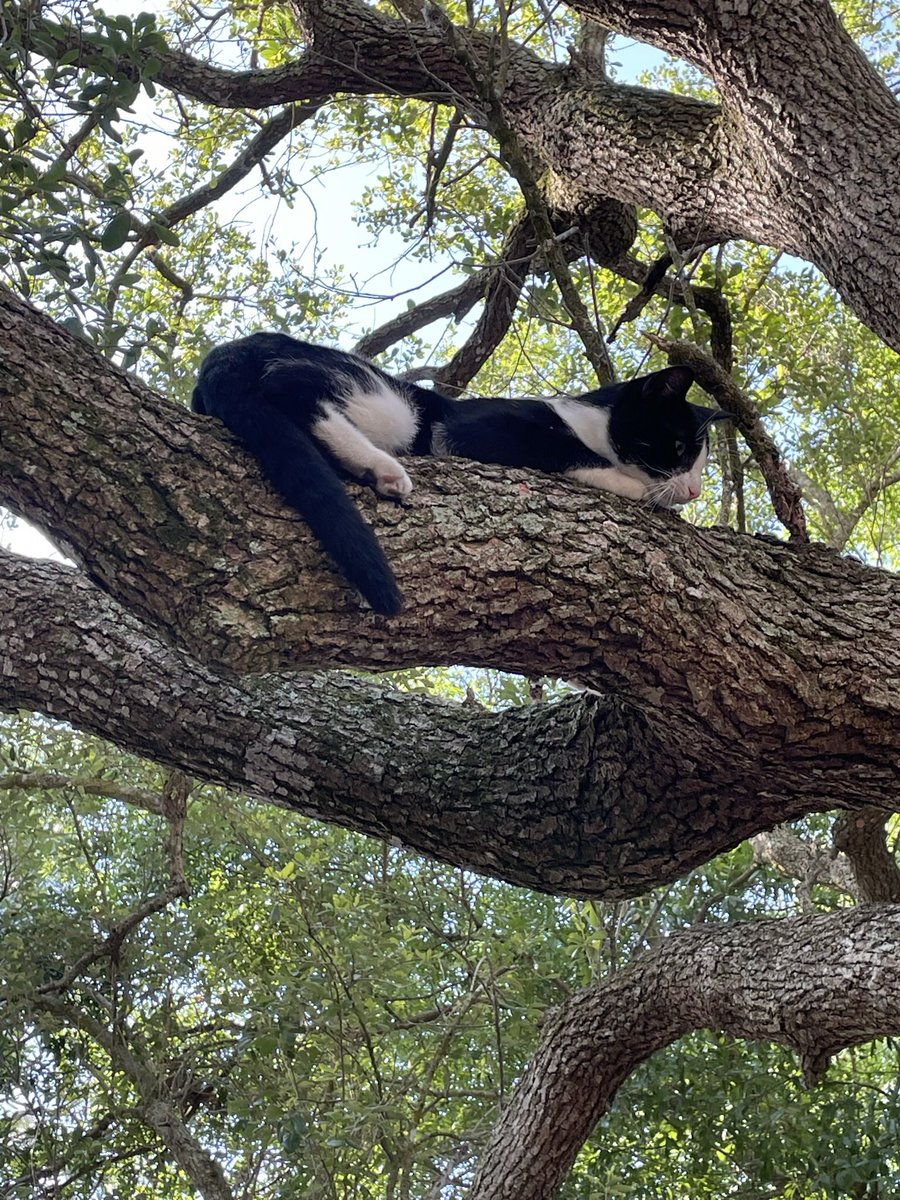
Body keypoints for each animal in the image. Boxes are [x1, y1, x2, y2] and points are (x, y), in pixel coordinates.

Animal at [192, 336, 734, 619]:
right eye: (679, 449)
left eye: (701, 466)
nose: (694, 490)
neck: (591, 422)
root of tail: (228, 351)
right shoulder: (482, 430)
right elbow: (568, 453)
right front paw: (639, 487)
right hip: (393, 405)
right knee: (292, 390)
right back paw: (384, 469)